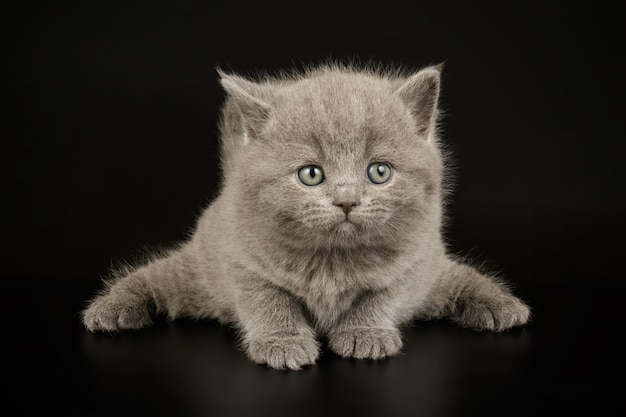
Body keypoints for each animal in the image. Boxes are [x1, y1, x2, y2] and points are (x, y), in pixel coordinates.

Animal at [81, 61, 528, 368]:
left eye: (379, 171)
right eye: (311, 174)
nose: (347, 200)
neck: (333, 261)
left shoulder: (412, 260)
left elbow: (381, 296)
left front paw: (364, 333)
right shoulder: (242, 260)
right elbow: (268, 300)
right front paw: (283, 343)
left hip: (434, 272)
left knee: (457, 278)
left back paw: (501, 305)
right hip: (199, 273)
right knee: (155, 277)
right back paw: (111, 308)